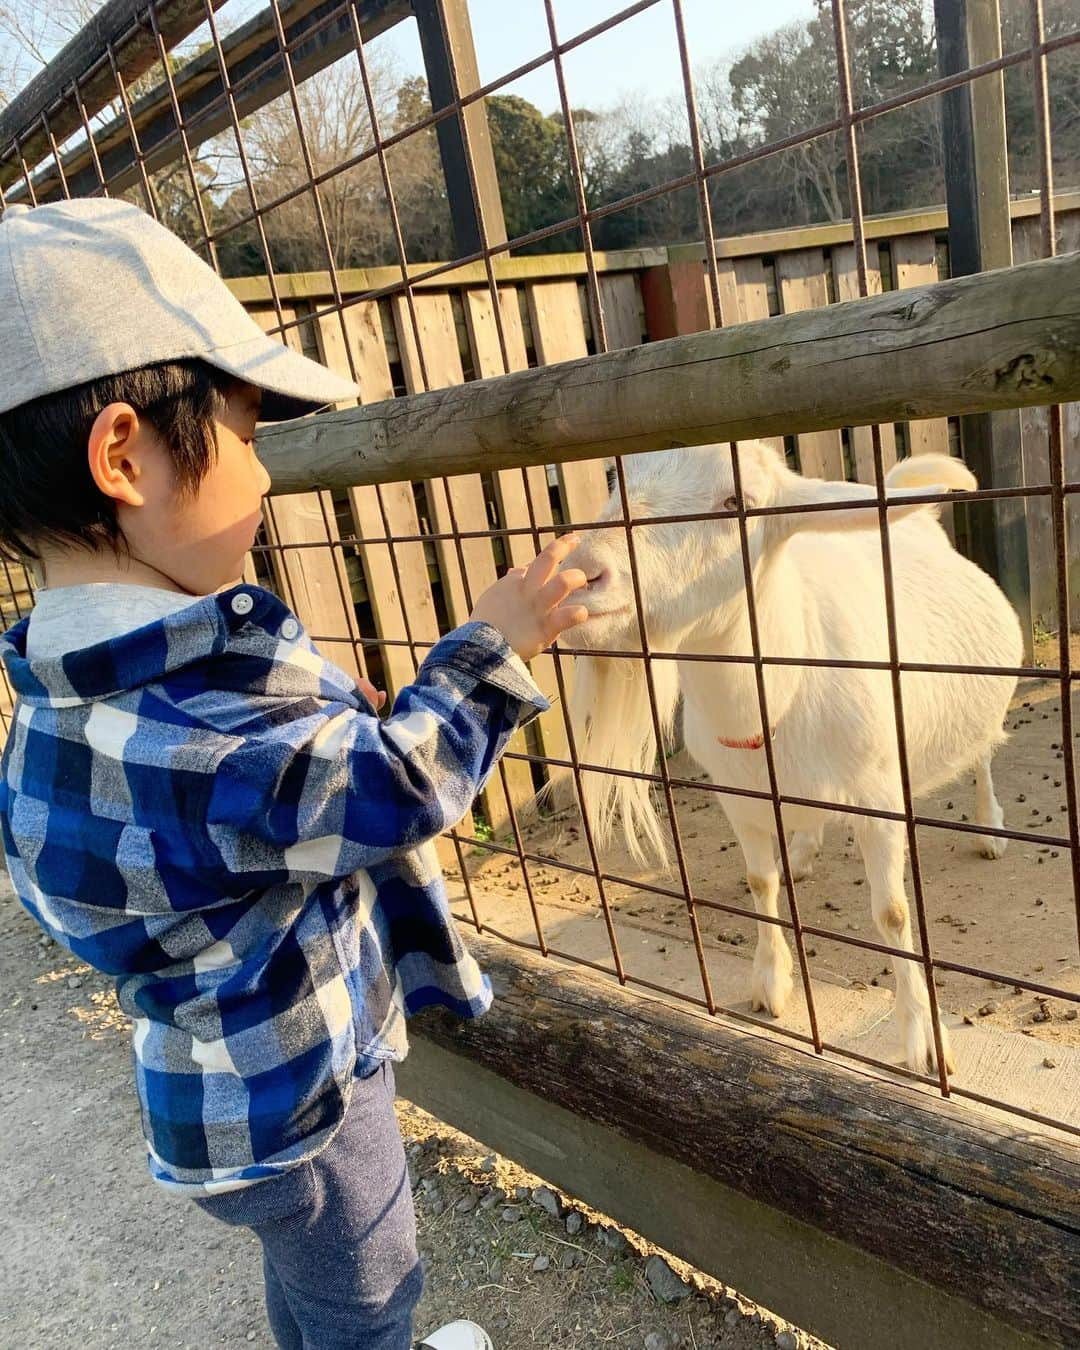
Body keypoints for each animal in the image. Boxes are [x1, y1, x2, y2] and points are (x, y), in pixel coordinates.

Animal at [564, 442, 1020, 1074]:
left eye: (738, 501)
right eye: (615, 477)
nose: (583, 572)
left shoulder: (880, 796)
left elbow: (893, 913)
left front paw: (926, 1039)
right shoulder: (737, 796)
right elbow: (760, 882)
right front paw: (769, 983)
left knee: (981, 756)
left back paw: (990, 827)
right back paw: (802, 851)